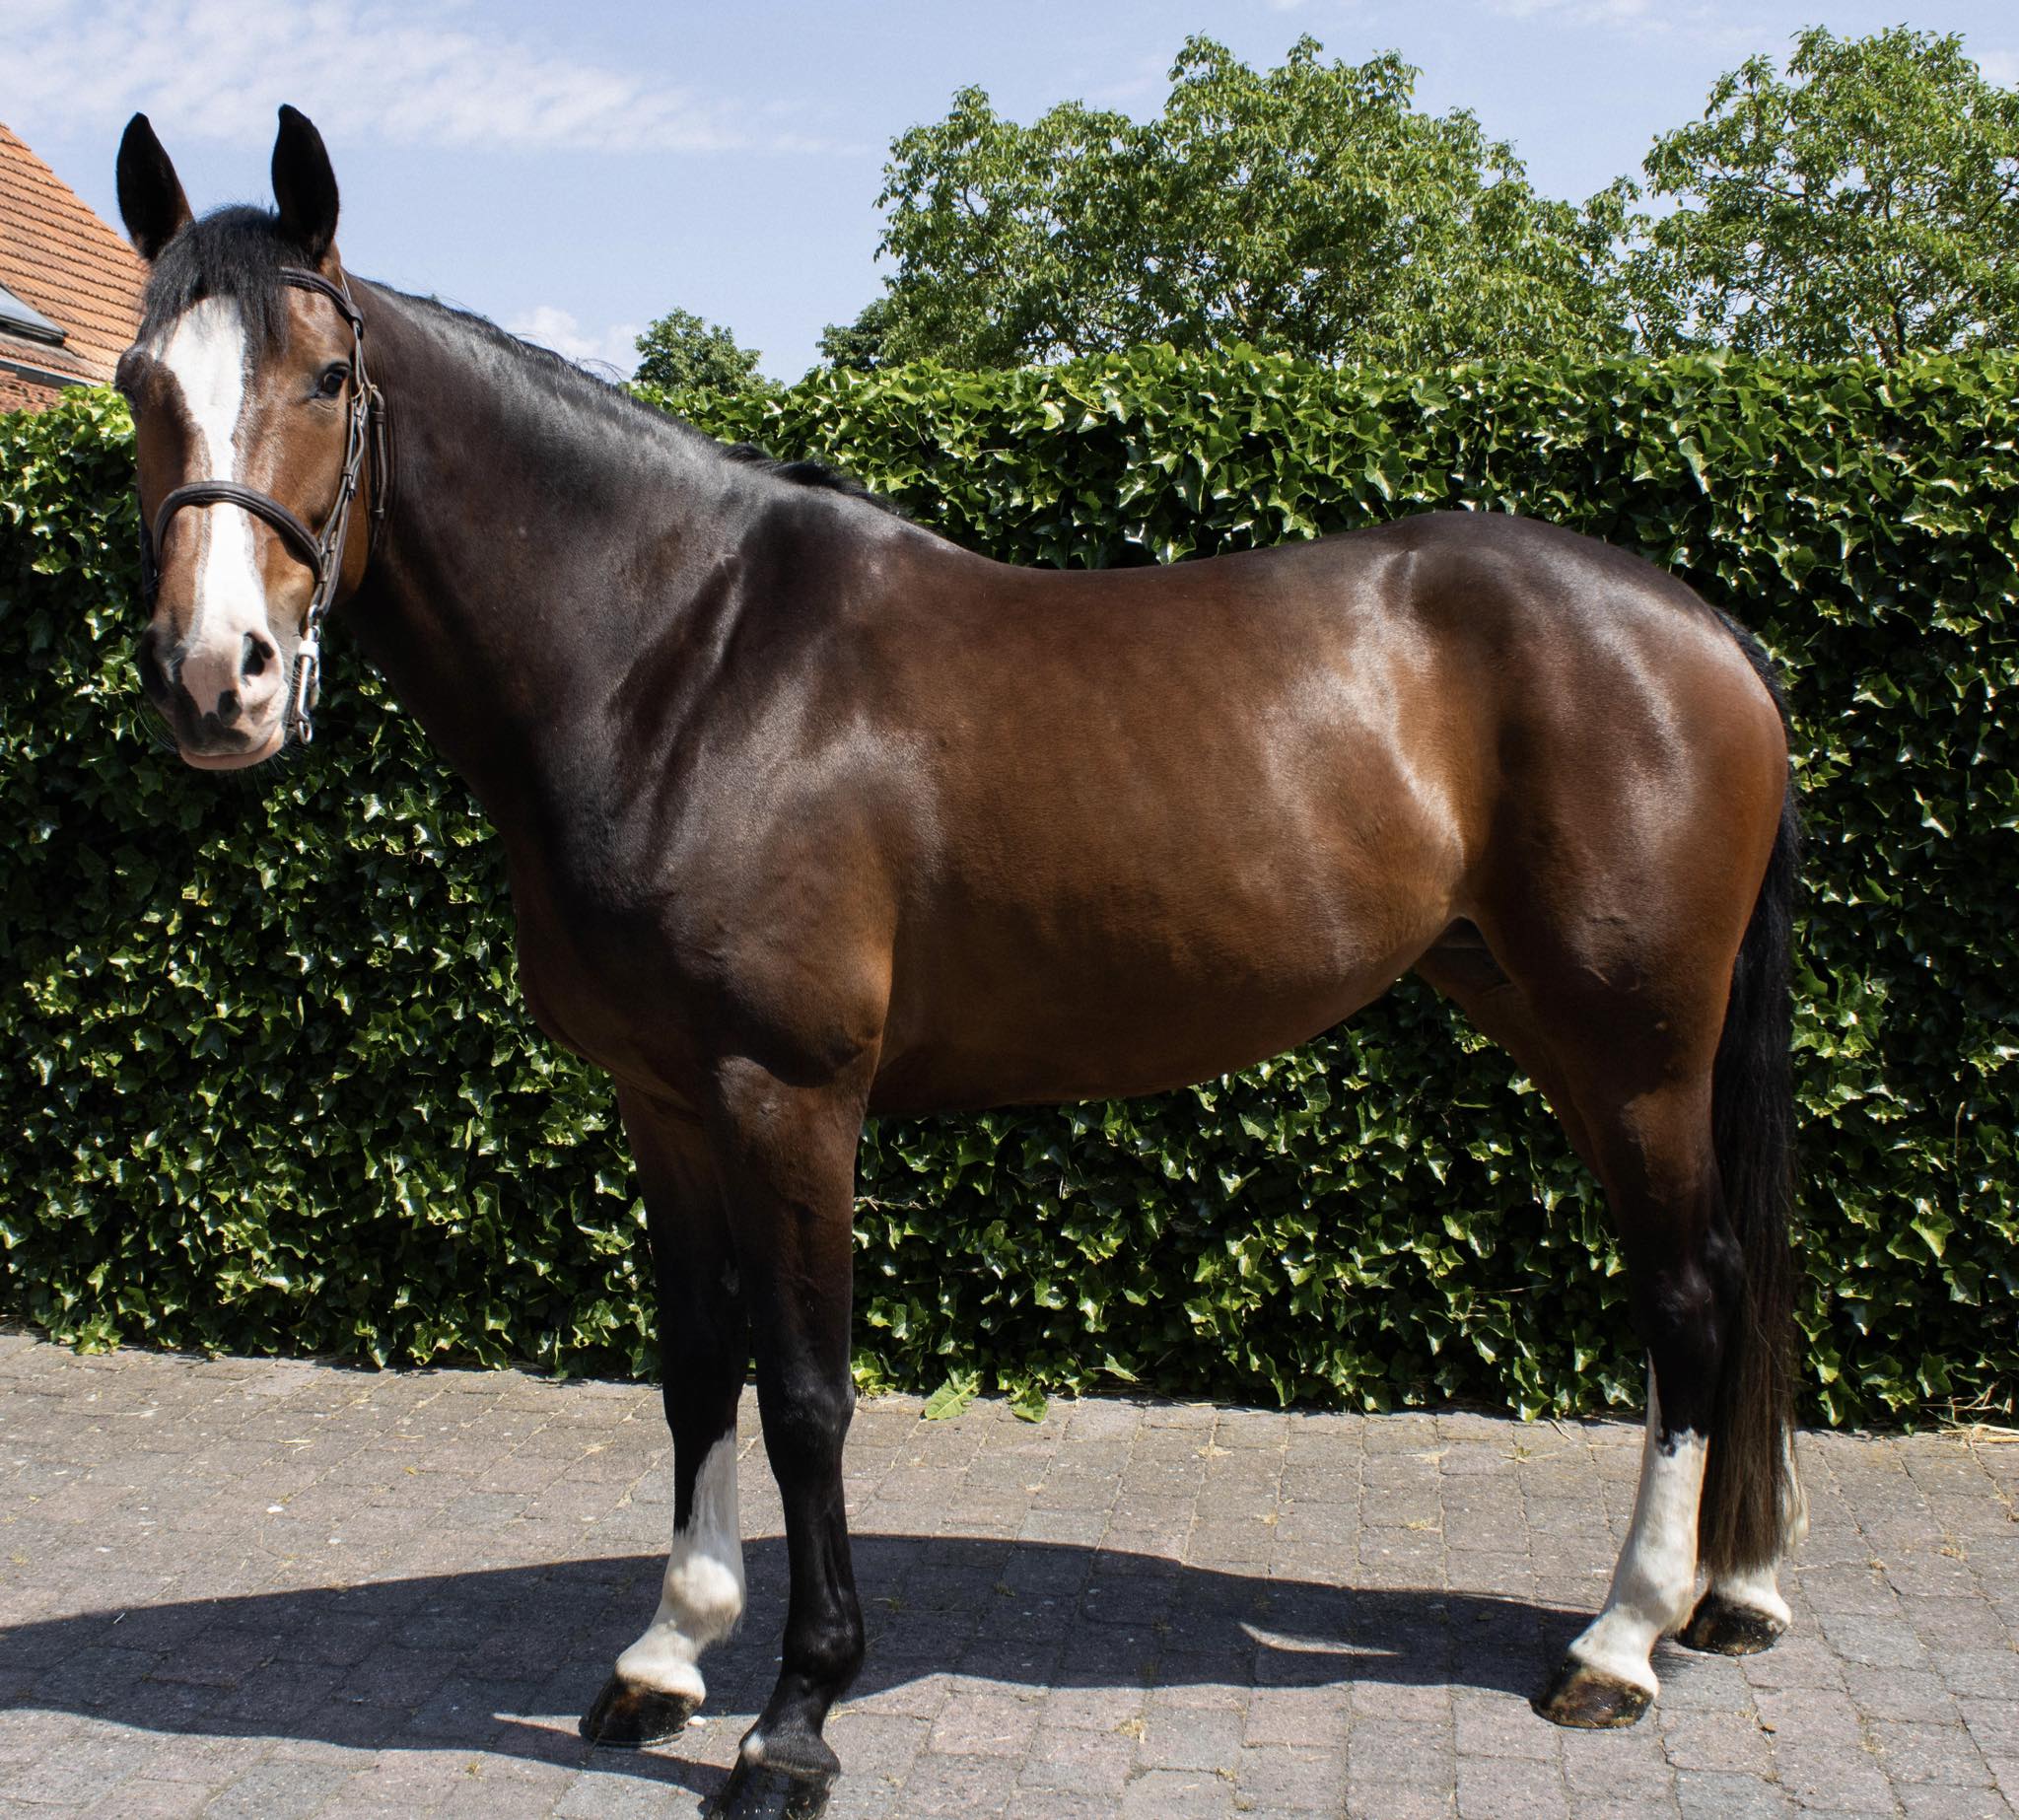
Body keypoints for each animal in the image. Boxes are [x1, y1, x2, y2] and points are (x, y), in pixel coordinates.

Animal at [111, 106, 1803, 1817]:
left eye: (328, 375)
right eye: (139, 384)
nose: (217, 681)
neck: (679, 662)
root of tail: (1705, 631)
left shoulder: (788, 1096)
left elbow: (805, 1396)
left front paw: (793, 1717)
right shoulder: (664, 1101)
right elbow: (696, 1366)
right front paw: (665, 1656)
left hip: (1637, 1047)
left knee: (1691, 1293)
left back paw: (1620, 1640)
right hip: (1554, 1023)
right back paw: (1722, 1596)